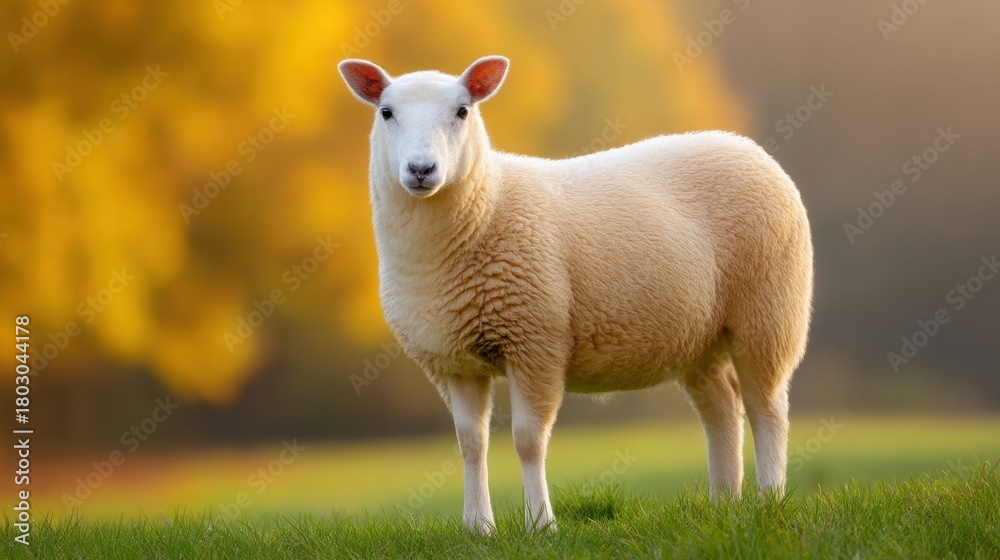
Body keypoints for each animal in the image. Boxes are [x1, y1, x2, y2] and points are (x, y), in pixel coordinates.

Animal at [338, 55, 814, 534]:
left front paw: (540, 524)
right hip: (700, 334)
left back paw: (768, 500)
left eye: (462, 111)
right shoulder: (451, 358)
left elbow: (528, 441)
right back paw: (723, 505)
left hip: (769, 311)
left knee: (766, 407)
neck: (486, 208)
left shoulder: (536, 343)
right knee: (722, 407)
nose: (421, 169)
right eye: (386, 112)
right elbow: (470, 442)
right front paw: (479, 528)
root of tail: (744, 146)